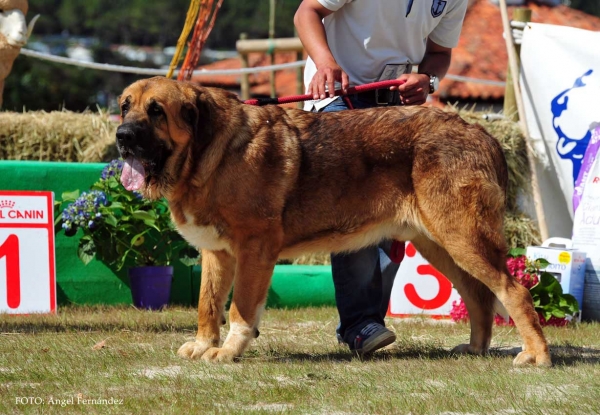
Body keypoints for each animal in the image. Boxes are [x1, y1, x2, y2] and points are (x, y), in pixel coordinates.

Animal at [115, 76, 552, 366]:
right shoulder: (217, 253)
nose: (121, 136)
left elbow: (240, 310)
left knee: (515, 291)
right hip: (440, 245)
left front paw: (227, 352)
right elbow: (207, 306)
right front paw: (204, 345)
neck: (209, 151)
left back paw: (536, 355)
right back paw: (476, 349)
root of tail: (482, 133)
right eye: (125, 106)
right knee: (479, 296)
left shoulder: (254, 250)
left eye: (156, 111)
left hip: (462, 238)